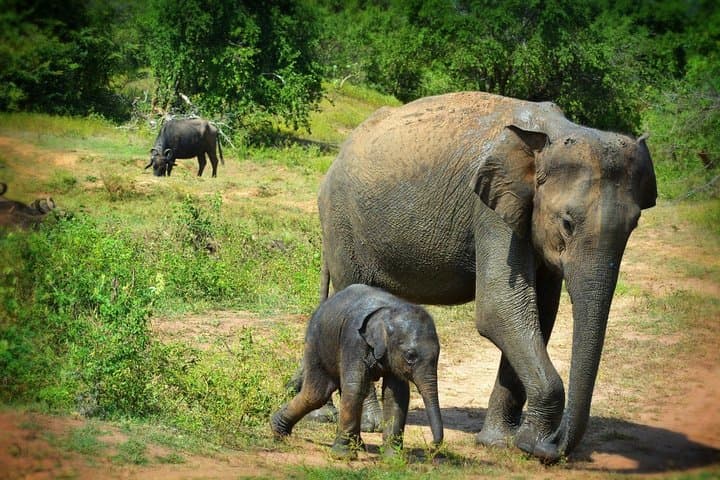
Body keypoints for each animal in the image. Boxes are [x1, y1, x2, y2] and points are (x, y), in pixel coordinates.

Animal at [271, 284, 443, 459]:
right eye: (410, 356)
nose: (431, 446)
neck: (389, 314)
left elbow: (396, 395)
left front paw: (392, 458)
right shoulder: (354, 340)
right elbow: (355, 387)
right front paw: (342, 456)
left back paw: (358, 446)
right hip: (317, 345)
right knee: (316, 394)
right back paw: (278, 431)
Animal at [317, 92, 657, 462]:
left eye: (635, 225)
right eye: (567, 223)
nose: (552, 445)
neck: (552, 134)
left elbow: (540, 314)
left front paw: (500, 442)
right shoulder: (490, 211)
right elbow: (500, 309)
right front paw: (528, 443)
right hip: (342, 225)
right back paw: (371, 424)